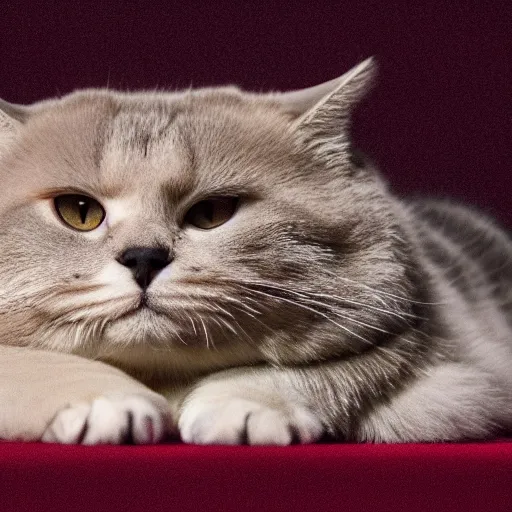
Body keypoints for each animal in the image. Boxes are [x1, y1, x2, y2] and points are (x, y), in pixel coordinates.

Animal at [1, 58, 512, 446]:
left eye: (213, 213)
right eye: (79, 211)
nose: (143, 257)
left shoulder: (451, 366)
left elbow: (333, 368)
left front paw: (242, 404)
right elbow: (26, 360)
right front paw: (104, 399)